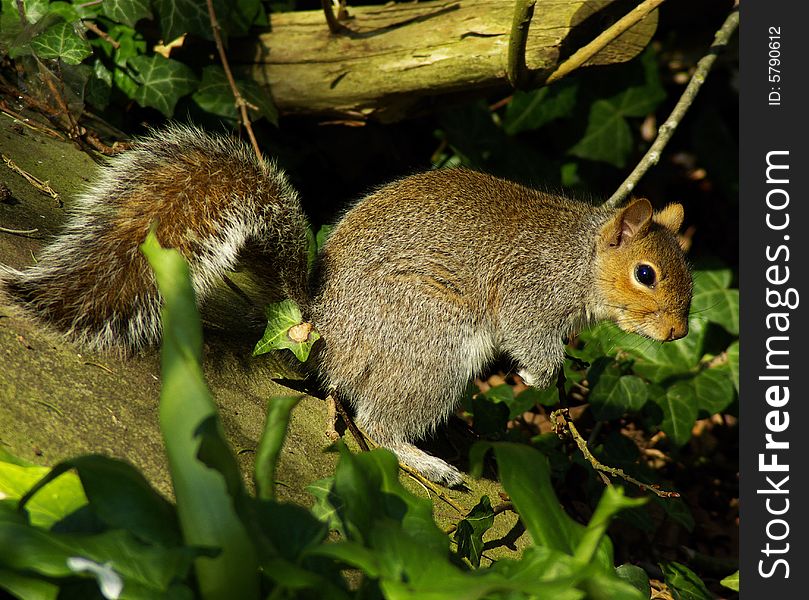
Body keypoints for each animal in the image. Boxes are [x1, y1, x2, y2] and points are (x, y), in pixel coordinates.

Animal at [1, 124, 696, 486]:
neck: (580, 261)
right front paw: (545, 376)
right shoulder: (530, 291)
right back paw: (429, 461)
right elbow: (526, 335)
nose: (674, 334)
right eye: (645, 274)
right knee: (378, 426)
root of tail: (323, 325)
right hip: (431, 342)